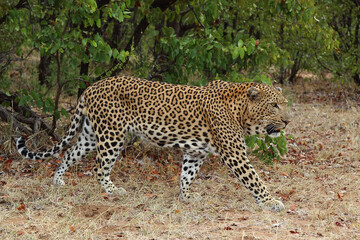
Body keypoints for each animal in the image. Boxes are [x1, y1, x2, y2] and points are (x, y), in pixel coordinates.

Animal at [16, 75, 290, 212]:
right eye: (274, 105)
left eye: (284, 104)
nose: (287, 121)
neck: (241, 111)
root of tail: (91, 86)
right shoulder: (235, 154)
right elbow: (254, 179)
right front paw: (270, 202)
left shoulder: (196, 153)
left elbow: (187, 175)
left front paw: (186, 196)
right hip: (112, 134)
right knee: (99, 167)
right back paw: (113, 190)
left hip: (91, 135)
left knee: (69, 153)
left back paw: (58, 181)